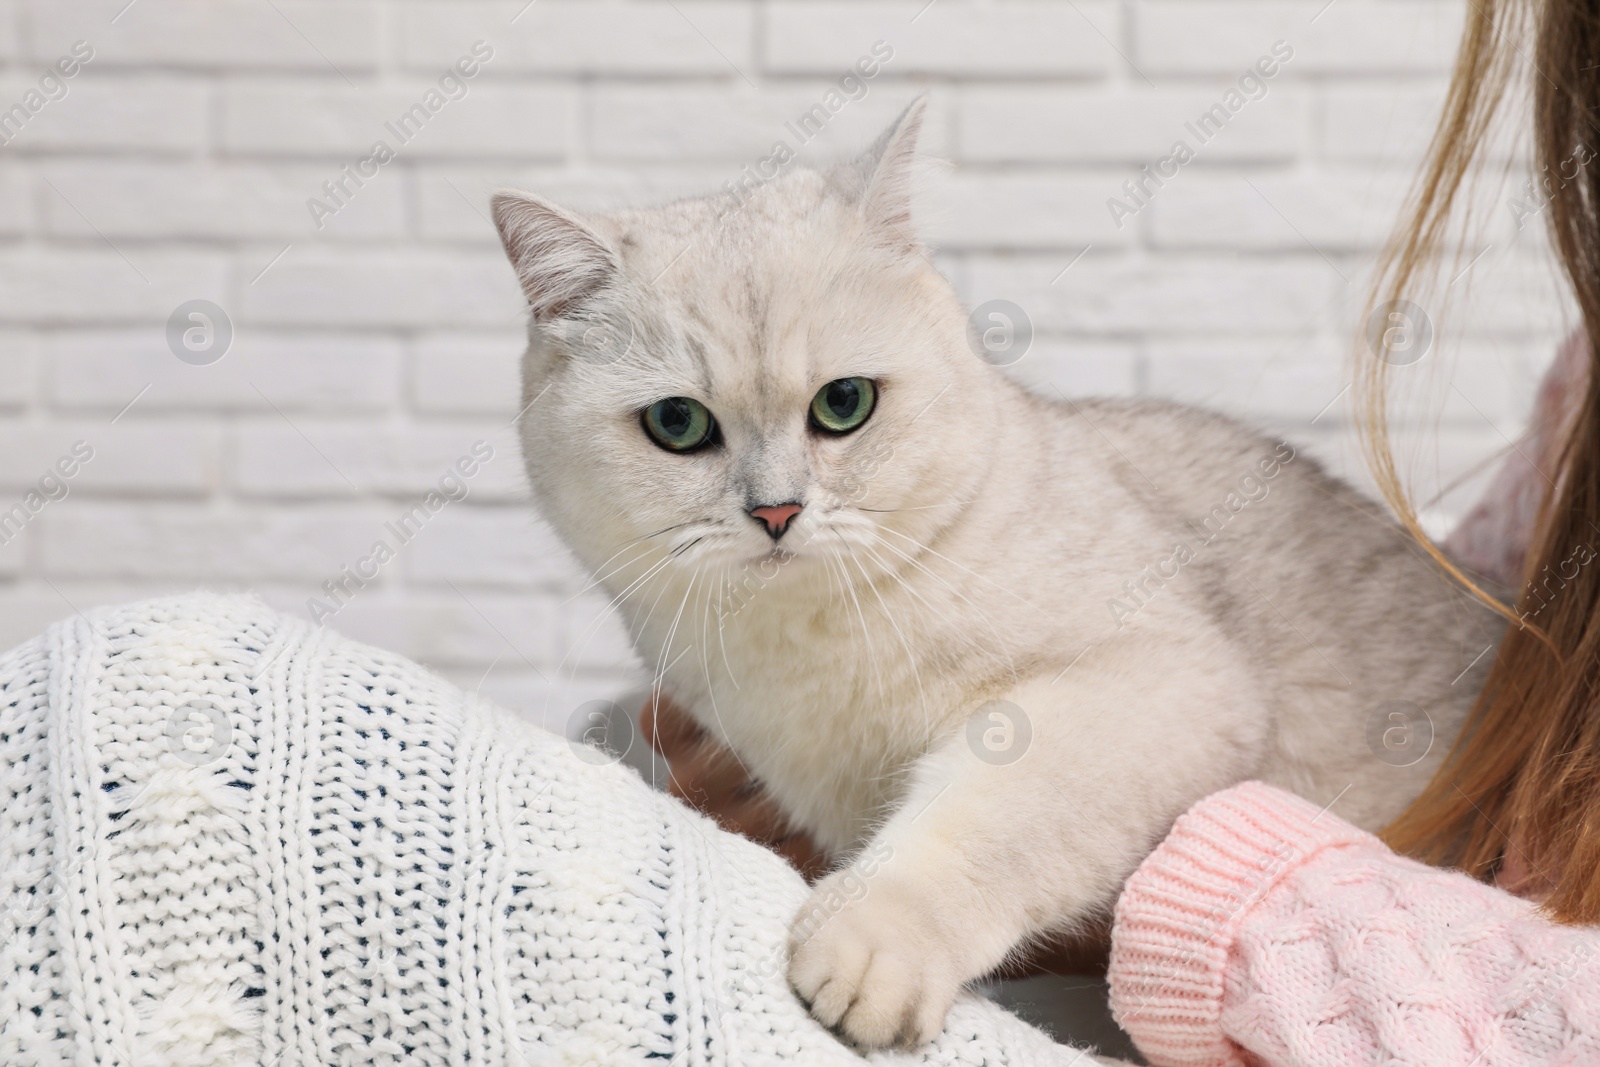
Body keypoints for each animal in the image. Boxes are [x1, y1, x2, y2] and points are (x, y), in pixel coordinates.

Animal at [489, 99, 1497, 1049]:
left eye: (843, 404)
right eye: (678, 424)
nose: (775, 511)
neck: (811, 639)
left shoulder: (1158, 683)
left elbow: (989, 818)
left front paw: (876, 939)